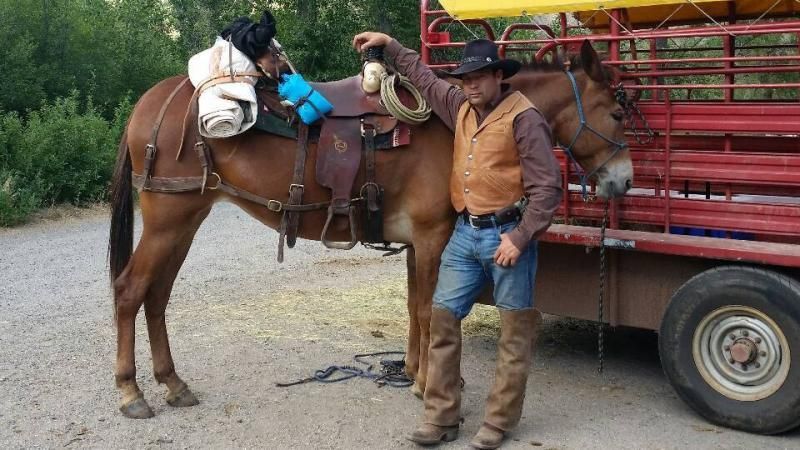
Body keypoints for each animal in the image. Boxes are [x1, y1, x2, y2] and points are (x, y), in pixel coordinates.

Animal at [108, 40, 633, 418]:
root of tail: (152, 101)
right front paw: (427, 383)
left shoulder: (416, 244)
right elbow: (428, 309)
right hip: (168, 220)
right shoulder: (432, 238)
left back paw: (173, 383)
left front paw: (414, 371)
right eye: (617, 112)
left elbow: (415, 308)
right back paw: (131, 392)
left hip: (185, 221)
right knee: (131, 291)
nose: (624, 179)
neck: (454, 125)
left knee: (157, 296)